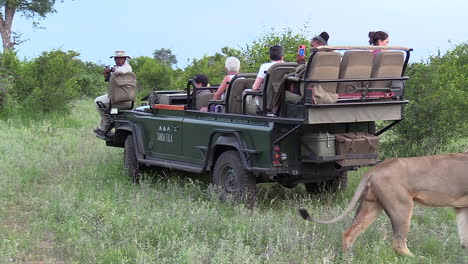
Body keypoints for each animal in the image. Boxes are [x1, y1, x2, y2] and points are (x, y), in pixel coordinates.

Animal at [298, 152, 466, 256]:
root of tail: (374, 169)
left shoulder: (461, 207)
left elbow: (464, 236)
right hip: (402, 207)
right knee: (398, 243)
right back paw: (419, 258)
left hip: (371, 206)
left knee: (349, 233)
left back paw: (349, 258)